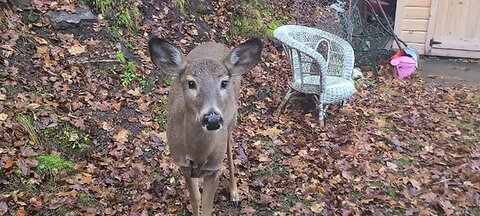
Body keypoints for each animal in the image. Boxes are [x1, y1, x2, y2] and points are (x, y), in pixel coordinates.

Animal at [149, 36, 262, 214]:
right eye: (191, 83)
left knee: (230, 147)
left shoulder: (214, 169)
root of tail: (216, 43)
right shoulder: (183, 165)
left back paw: (235, 194)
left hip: (232, 121)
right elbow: (196, 199)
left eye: (224, 83)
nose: (213, 119)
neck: (198, 155)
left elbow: (207, 205)